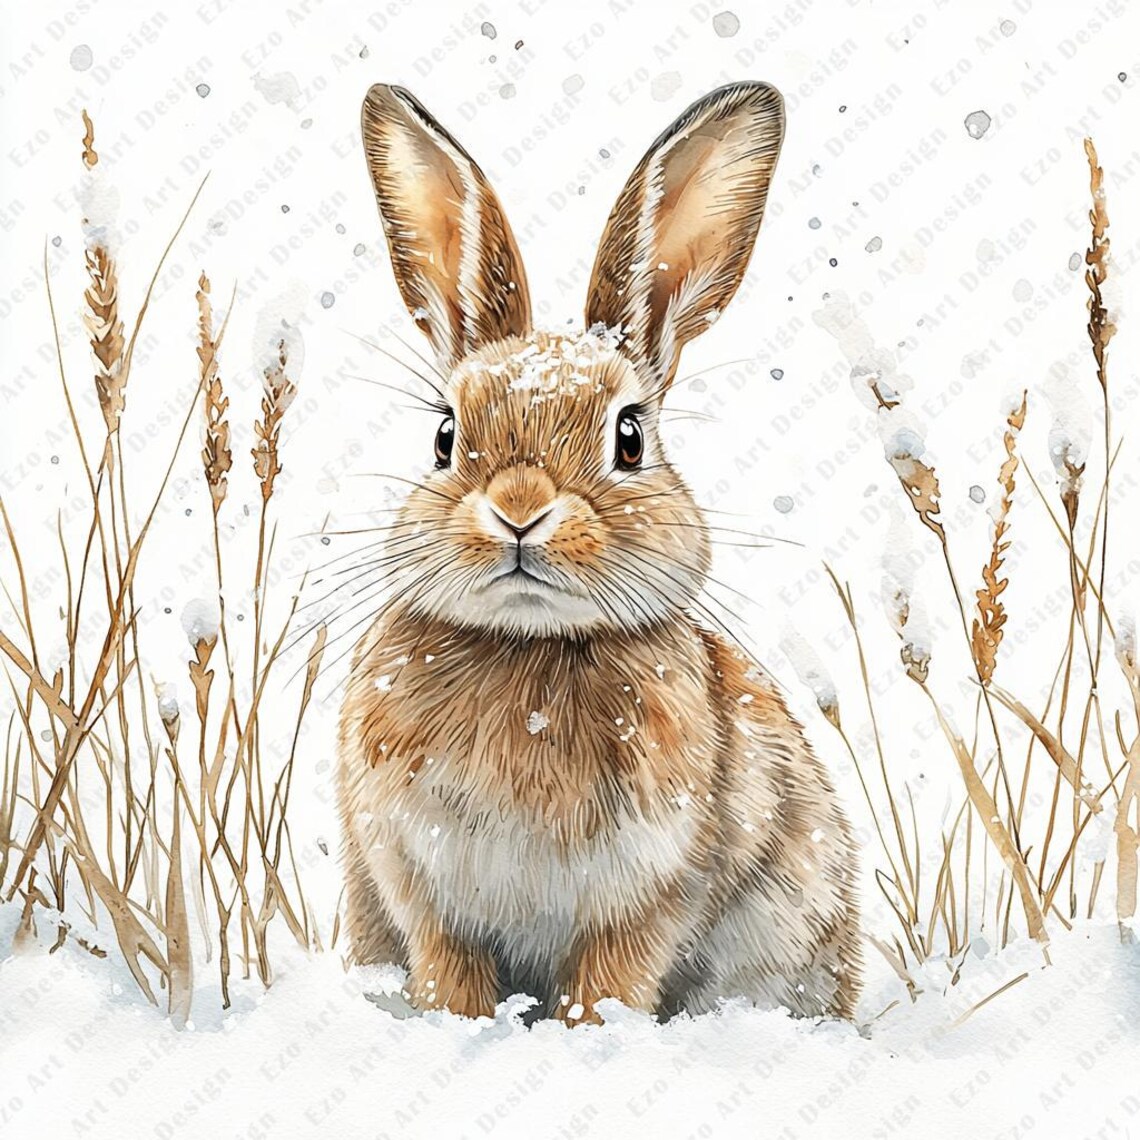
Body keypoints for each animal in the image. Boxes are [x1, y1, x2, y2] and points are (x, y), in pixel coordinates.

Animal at [336, 80, 862, 1025]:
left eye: (629, 437)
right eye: (444, 436)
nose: (519, 511)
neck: (529, 651)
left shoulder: (651, 894)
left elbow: (611, 982)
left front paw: (592, 1041)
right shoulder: (422, 892)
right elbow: (449, 978)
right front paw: (458, 1030)